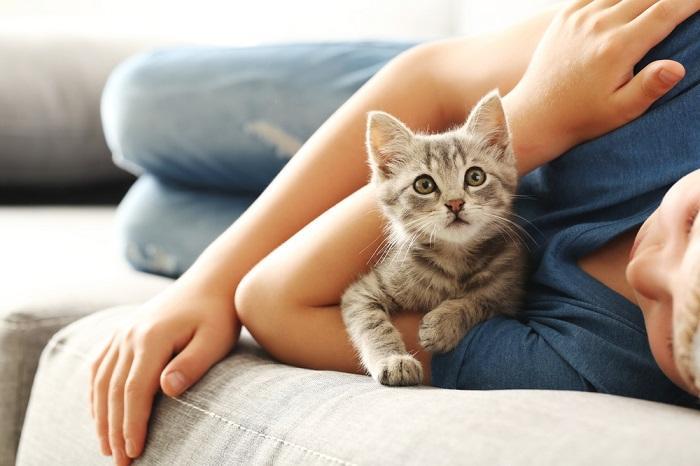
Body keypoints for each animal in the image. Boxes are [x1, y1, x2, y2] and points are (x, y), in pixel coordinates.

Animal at [340, 90, 524, 386]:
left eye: (475, 176)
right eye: (424, 185)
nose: (456, 203)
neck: (455, 259)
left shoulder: (510, 297)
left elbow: (481, 301)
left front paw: (443, 323)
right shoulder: (361, 292)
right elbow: (371, 324)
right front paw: (393, 359)